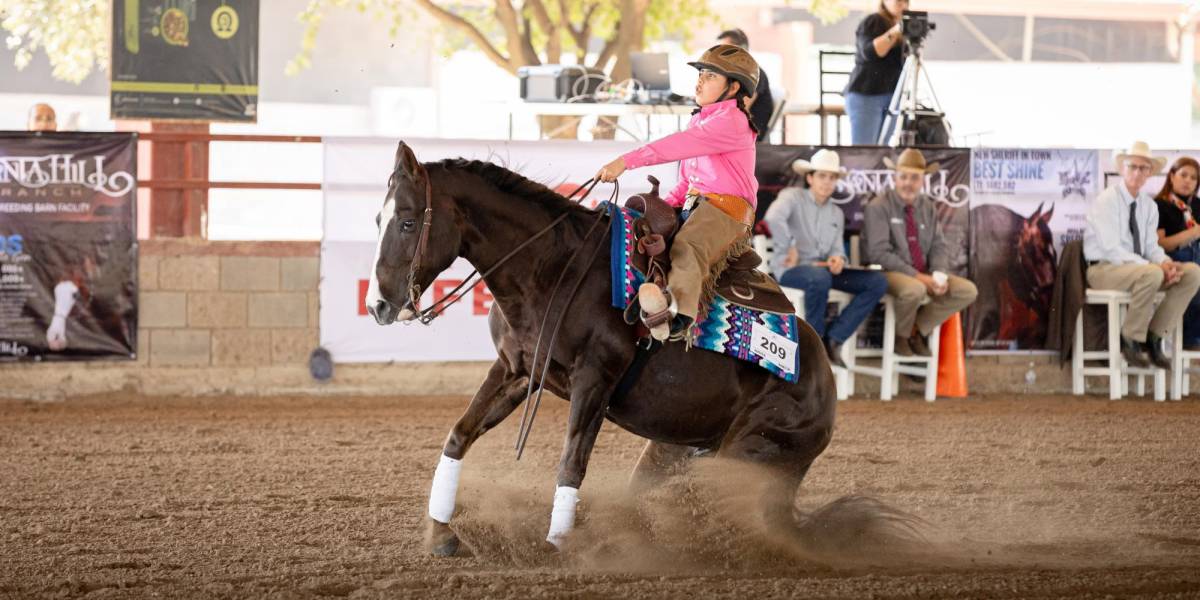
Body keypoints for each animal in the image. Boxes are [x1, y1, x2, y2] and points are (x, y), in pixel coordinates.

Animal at [364, 142, 835, 554]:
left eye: (407, 222)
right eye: (377, 220)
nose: (378, 305)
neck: (554, 269)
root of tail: (825, 386)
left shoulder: (594, 380)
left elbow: (571, 463)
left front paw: (557, 545)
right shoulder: (515, 370)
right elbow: (459, 435)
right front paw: (440, 531)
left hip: (750, 453)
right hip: (674, 447)